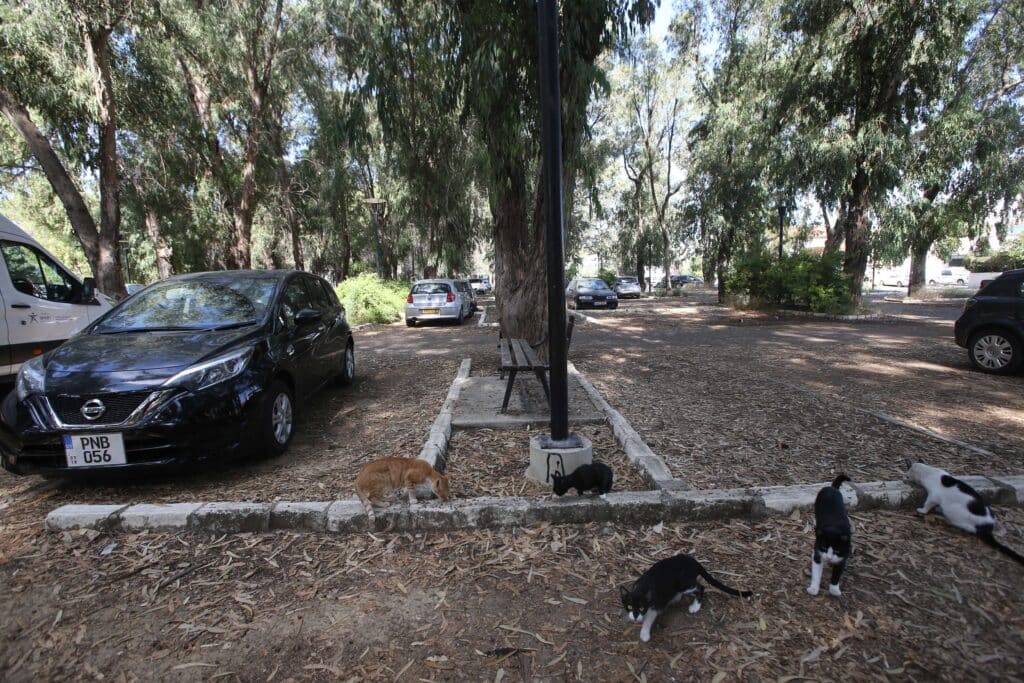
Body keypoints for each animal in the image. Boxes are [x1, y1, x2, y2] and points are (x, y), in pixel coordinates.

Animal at [614, 552, 753, 643]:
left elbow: (649, 618)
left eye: (642, 608)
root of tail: (693, 561)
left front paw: (644, 633)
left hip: (685, 584)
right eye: (629, 606)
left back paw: (695, 606)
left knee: (701, 587)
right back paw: (675, 598)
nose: (635, 615)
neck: (641, 588)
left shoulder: (655, 604)